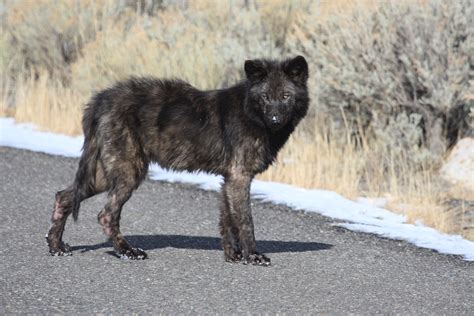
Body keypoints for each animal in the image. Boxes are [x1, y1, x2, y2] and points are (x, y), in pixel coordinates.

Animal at [46, 55, 310, 266]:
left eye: (285, 96)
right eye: (265, 96)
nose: (275, 120)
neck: (251, 112)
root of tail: (100, 99)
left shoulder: (229, 179)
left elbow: (228, 222)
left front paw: (233, 256)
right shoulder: (239, 177)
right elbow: (245, 222)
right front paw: (253, 256)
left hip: (105, 174)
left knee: (64, 196)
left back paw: (56, 247)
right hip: (128, 173)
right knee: (106, 215)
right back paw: (128, 251)